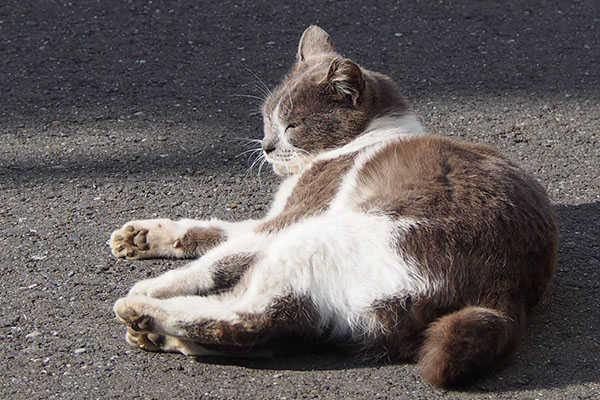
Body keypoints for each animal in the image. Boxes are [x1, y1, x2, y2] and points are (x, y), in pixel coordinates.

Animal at [110, 25, 556, 388]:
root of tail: (505, 292)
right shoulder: (274, 218)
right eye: (267, 118)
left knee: (248, 319)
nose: (266, 146)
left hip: (318, 237)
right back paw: (155, 331)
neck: (371, 134)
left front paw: (154, 283)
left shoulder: (295, 215)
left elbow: (217, 259)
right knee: (275, 331)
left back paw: (142, 310)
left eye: (292, 125)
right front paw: (142, 236)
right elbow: (212, 233)